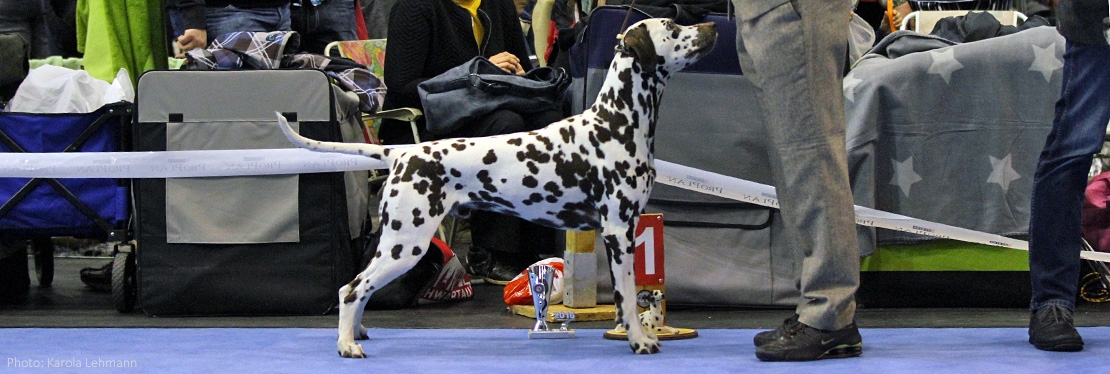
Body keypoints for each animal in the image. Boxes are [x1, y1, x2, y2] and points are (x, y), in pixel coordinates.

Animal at [277, 18, 719, 357]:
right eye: (674, 27)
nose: (712, 26)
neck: (616, 122)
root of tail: (402, 152)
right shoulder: (618, 231)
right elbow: (627, 297)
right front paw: (640, 341)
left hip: (397, 243)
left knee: (360, 289)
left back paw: (358, 332)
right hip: (406, 244)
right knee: (350, 289)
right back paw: (347, 345)